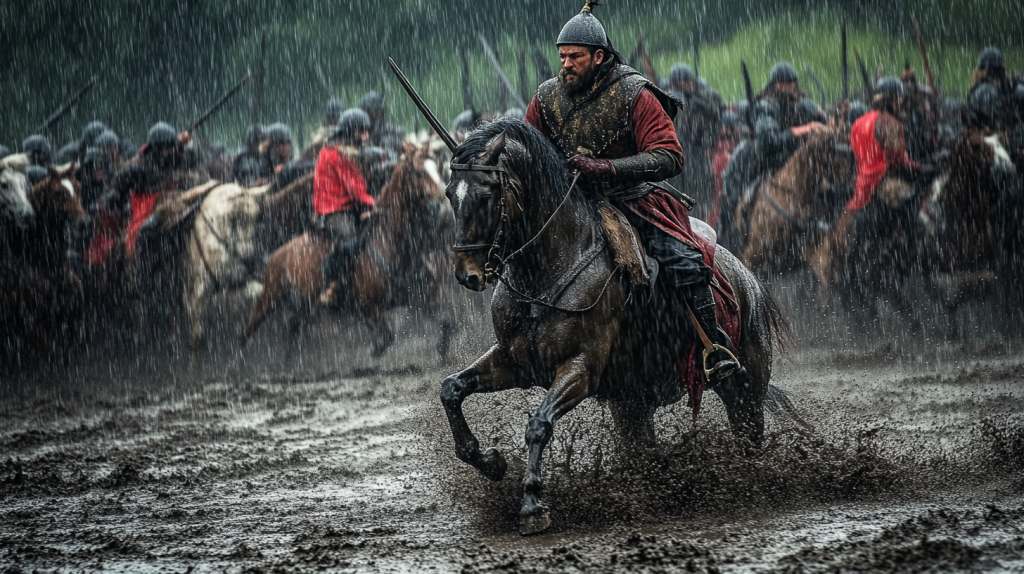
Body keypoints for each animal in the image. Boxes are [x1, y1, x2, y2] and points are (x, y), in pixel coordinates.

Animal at [241, 142, 454, 358]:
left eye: (438, 169)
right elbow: (386, 336)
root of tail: (276, 255)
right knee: (248, 330)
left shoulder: (424, 296)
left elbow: (448, 323)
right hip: (270, 296)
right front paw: (374, 350)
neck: (392, 244)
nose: (442, 205)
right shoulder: (367, 306)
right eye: (417, 172)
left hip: (303, 308)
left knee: (291, 334)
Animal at [442, 118, 790, 536]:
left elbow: (539, 424)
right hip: (633, 403)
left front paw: (532, 505)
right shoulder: (515, 362)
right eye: (450, 194)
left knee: (748, 434)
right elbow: (451, 389)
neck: (545, 272)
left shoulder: (581, 369)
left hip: (744, 388)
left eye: (485, 194)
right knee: (642, 447)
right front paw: (489, 461)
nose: (468, 275)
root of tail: (748, 280)